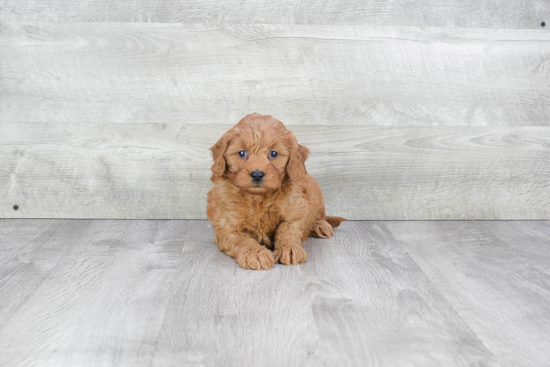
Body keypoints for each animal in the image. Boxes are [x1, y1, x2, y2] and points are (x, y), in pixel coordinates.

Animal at [207, 112, 344, 270]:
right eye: (242, 153)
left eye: (273, 154)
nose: (257, 174)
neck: (258, 198)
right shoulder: (228, 226)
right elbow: (242, 240)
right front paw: (256, 253)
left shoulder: (294, 211)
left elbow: (287, 231)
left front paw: (289, 249)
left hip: (316, 191)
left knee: (320, 215)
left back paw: (321, 226)